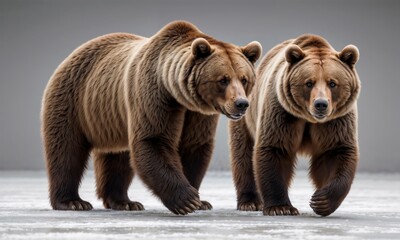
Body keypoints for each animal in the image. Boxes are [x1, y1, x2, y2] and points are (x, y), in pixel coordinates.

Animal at [41, 20, 262, 215]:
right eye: (223, 79)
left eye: (244, 79)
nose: (241, 103)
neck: (179, 95)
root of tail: (73, 54)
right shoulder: (154, 94)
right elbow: (153, 139)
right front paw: (187, 200)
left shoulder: (197, 114)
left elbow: (194, 147)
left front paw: (200, 201)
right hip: (73, 100)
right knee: (66, 150)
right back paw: (72, 201)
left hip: (111, 118)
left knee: (117, 157)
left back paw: (124, 202)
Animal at [230, 34, 360, 218]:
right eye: (309, 82)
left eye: (332, 83)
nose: (321, 104)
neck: (309, 118)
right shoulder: (282, 113)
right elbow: (274, 148)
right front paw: (281, 207)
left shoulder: (335, 121)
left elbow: (336, 151)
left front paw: (321, 200)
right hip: (245, 115)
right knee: (243, 155)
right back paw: (250, 202)